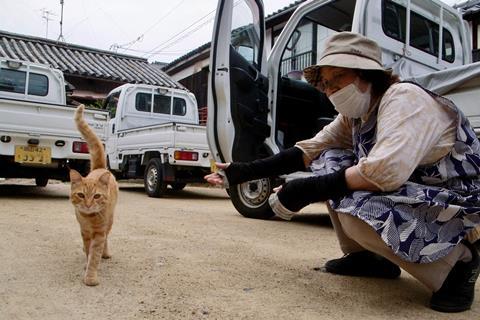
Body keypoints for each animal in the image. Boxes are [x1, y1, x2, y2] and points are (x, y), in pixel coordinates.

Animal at [69, 105, 118, 288]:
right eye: (81, 195)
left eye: (96, 196)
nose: (89, 204)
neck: (89, 219)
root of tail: (99, 168)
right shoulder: (84, 231)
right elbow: (88, 250)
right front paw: (86, 261)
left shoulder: (99, 233)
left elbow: (95, 255)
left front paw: (90, 276)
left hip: (110, 221)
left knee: (107, 238)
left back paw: (105, 253)